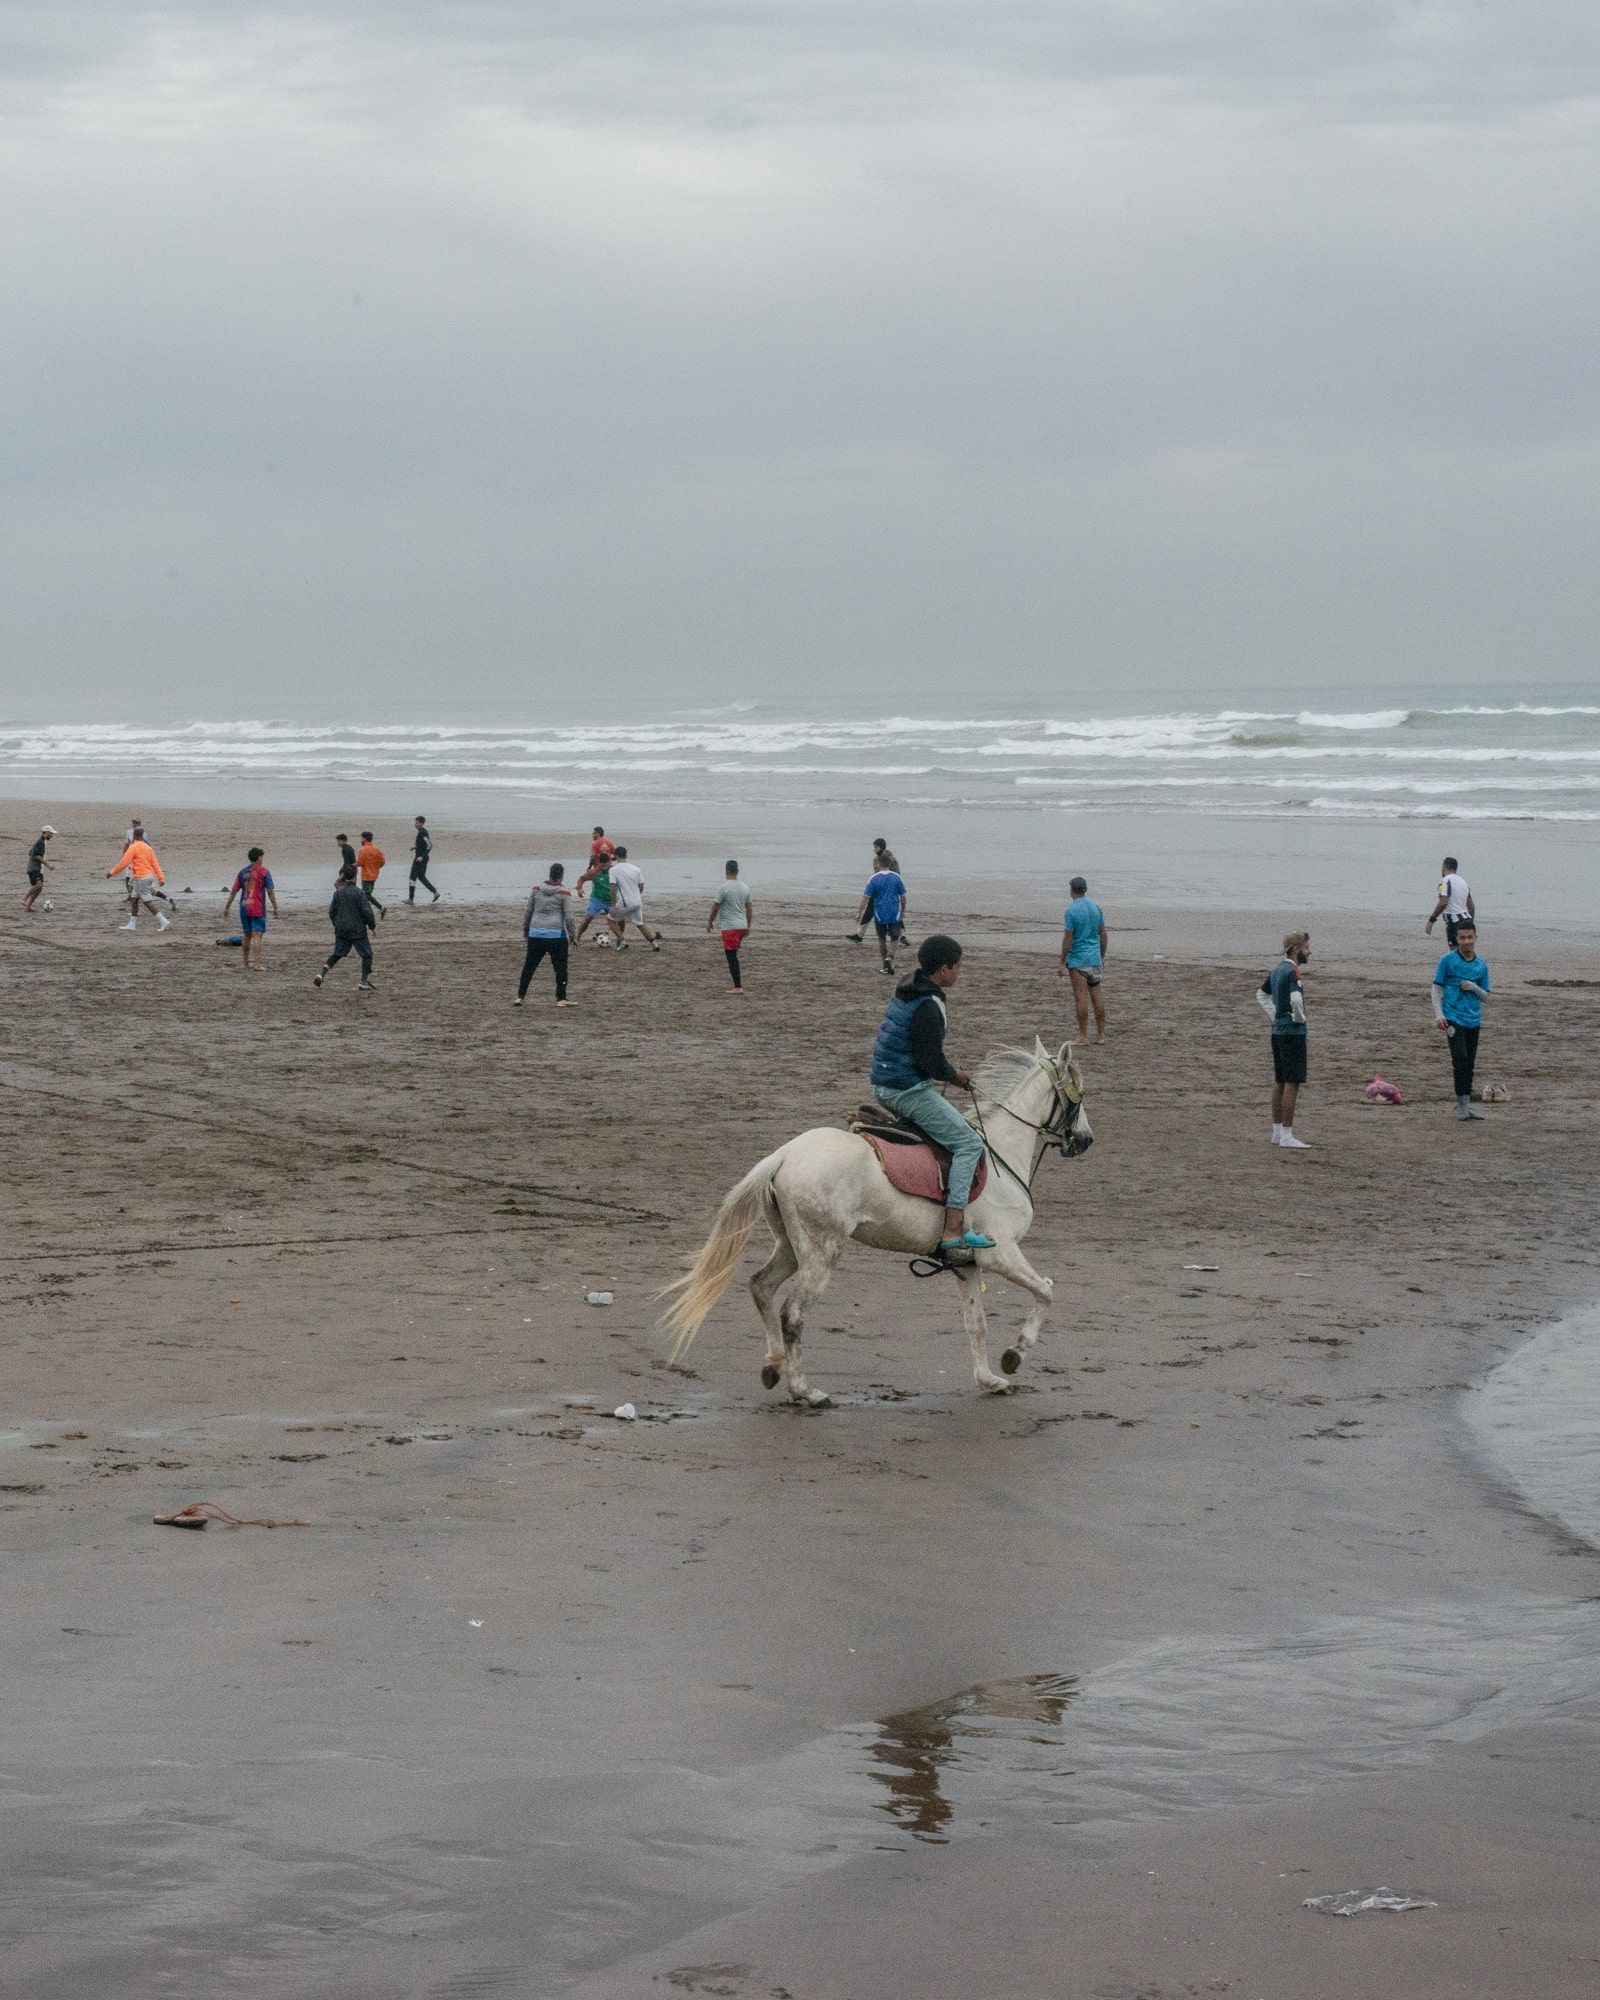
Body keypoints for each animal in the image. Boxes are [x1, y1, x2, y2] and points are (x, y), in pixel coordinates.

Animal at [660, 1040, 1092, 1405]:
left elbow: (976, 1323)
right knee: (793, 1313)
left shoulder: (966, 1266)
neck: (999, 1151)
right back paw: (805, 1391)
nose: (1085, 1139)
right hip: (823, 1252)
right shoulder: (999, 1255)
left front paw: (988, 1380)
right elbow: (1045, 1292)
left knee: (761, 1287)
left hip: (792, 1246)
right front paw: (1015, 1353)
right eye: (1078, 1094)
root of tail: (783, 1155)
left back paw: (774, 1366)